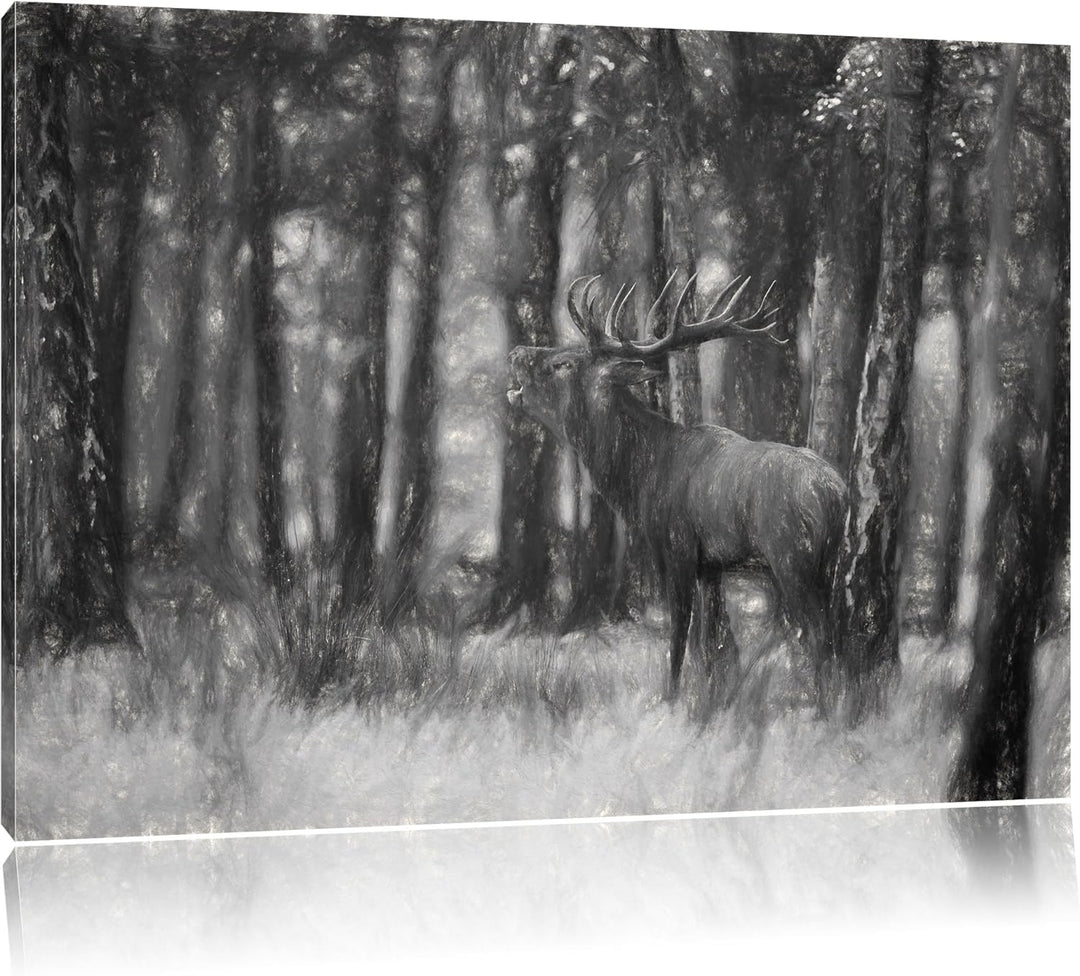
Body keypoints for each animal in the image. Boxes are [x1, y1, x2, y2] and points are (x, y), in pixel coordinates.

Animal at [506, 271, 848, 706]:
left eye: (561, 363)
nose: (516, 351)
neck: (641, 479)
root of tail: (837, 494)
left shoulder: (677, 547)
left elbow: (678, 640)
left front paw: (670, 700)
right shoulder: (711, 565)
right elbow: (711, 643)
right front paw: (711, 699)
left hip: (792, 557)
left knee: (818, 634)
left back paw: (820, 707)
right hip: (828, 562)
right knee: (835, 632)